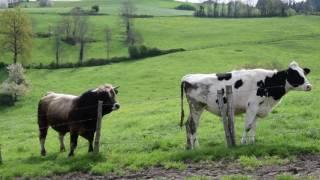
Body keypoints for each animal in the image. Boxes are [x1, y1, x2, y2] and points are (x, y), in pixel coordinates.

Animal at [181, 61, 312, 150]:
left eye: (304, 73)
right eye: (295, 75)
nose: (309, 86)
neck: (267, 83)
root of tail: (188, 77)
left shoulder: (258, 108)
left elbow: (254, 126)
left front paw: (252, 142)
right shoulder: (252, 106)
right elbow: (248, 126)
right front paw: (243, 142)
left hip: (195, 107)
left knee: (188, 124)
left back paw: (189, 146)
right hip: (196, 106)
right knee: (193, 125)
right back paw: (196, 147)